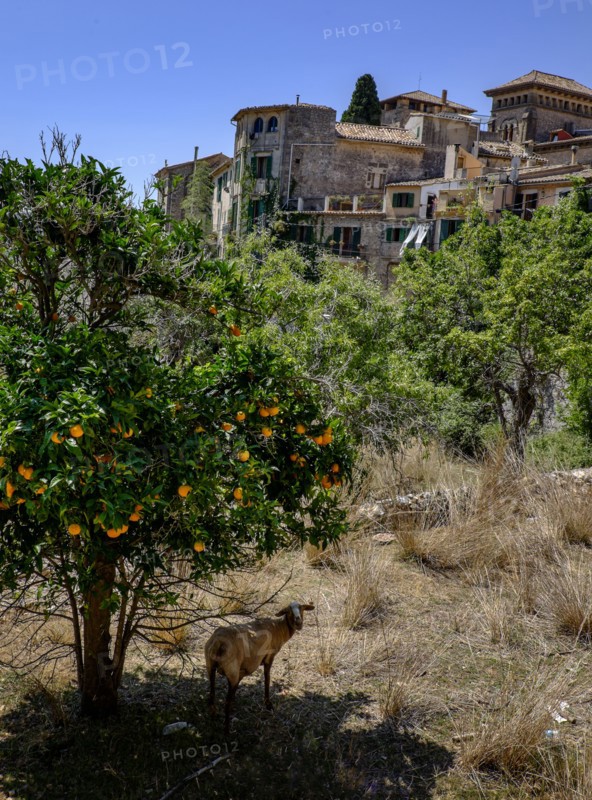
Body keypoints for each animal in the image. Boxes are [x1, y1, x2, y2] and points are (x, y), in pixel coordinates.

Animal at [204, 601, 314, 732]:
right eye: (288, 611)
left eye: (302, 608)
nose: (298, 623)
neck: (278, 628)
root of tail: (218, 642)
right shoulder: (269, 657)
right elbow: (267, 678)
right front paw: (268, 704)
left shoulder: (243, 668)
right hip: (232, 670)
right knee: (226, 701)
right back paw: (227, 728)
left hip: (210, 666)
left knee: (212, 693)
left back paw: (213, 714)